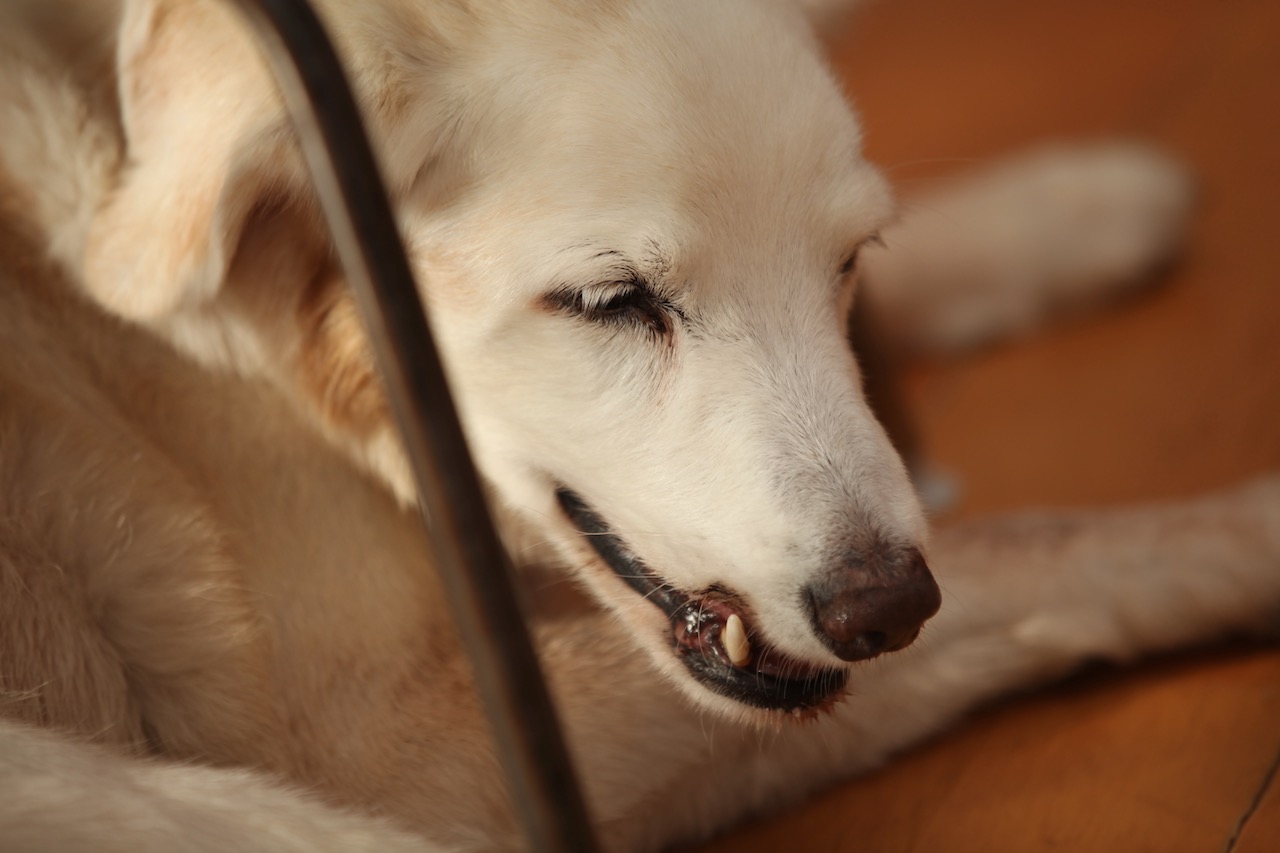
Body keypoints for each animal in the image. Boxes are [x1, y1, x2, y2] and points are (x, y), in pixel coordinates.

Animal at [1, 0, 1278, 849]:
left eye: (847, 260)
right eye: (610, 302)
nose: (886, 611)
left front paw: (1076, 201)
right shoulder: (393, 753)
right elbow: (1040, 542)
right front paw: (1247, 529)